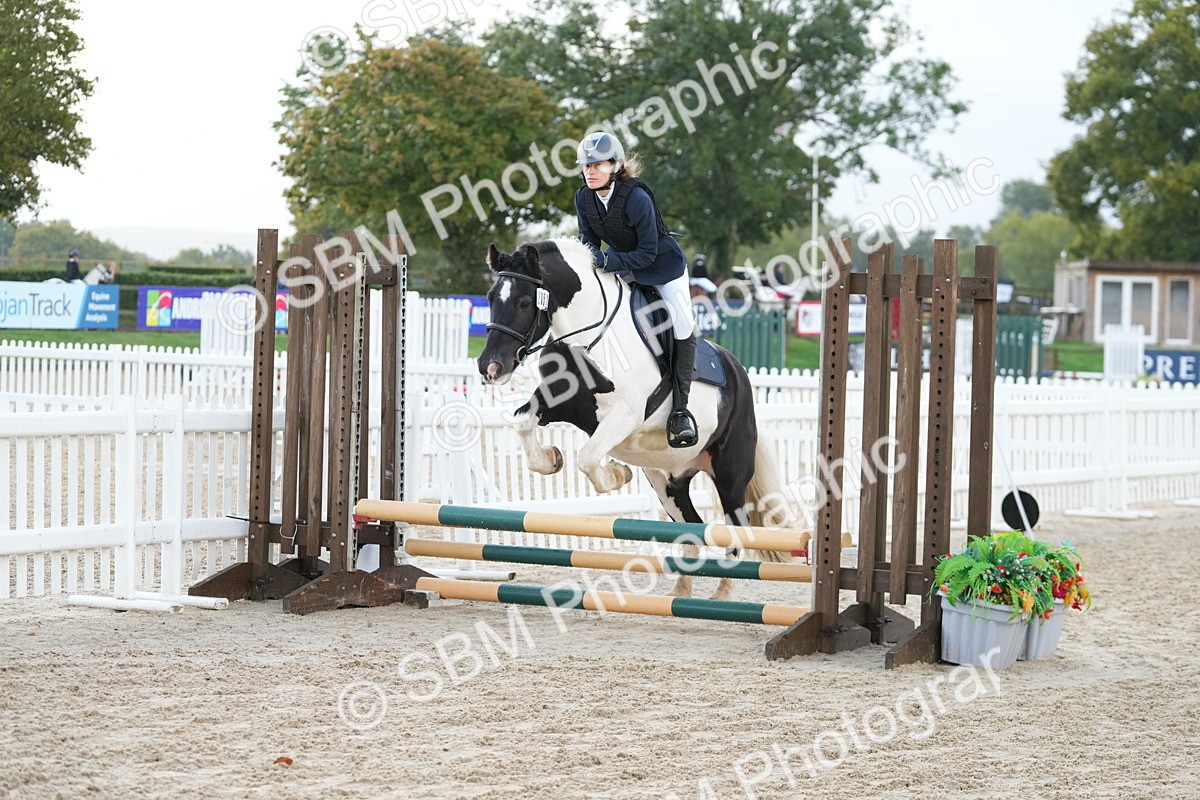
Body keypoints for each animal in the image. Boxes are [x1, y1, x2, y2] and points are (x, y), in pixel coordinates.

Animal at [477, 237, 798, 600]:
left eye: (523, 302)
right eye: (490, 299)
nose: (490, 367)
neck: (587, 335)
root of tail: (737, 370)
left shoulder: (625, 414)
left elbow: (588, 458)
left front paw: (616, 475)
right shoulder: (558, 401)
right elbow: (524, 422)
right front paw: (551, 459)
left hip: (730, 473)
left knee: (736, 529)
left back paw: (722, 596)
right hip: (668, 482)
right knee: (693, 526)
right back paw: (679, 594)